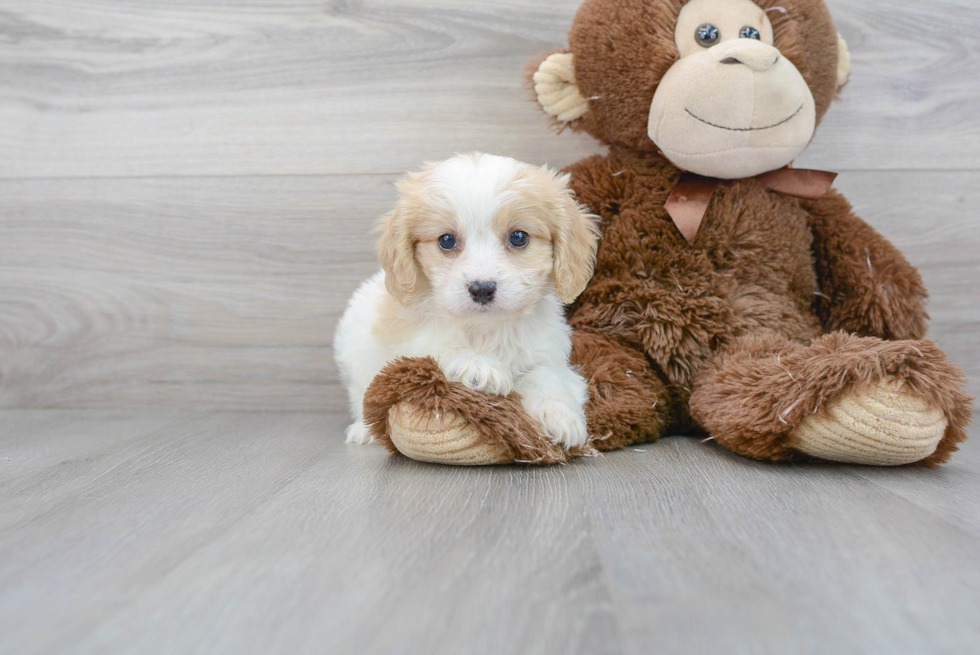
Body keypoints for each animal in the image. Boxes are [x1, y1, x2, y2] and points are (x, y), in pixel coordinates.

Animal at [334, 152, 600, 454]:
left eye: (518, 237)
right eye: (447, 241)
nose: (482, 289)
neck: (485, 329)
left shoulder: (547, 348)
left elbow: (547, 375)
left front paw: (559, 414)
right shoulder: (405, 341)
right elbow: (434, 344)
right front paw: (478, 366)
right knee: (360, 394)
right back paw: (363, 430)